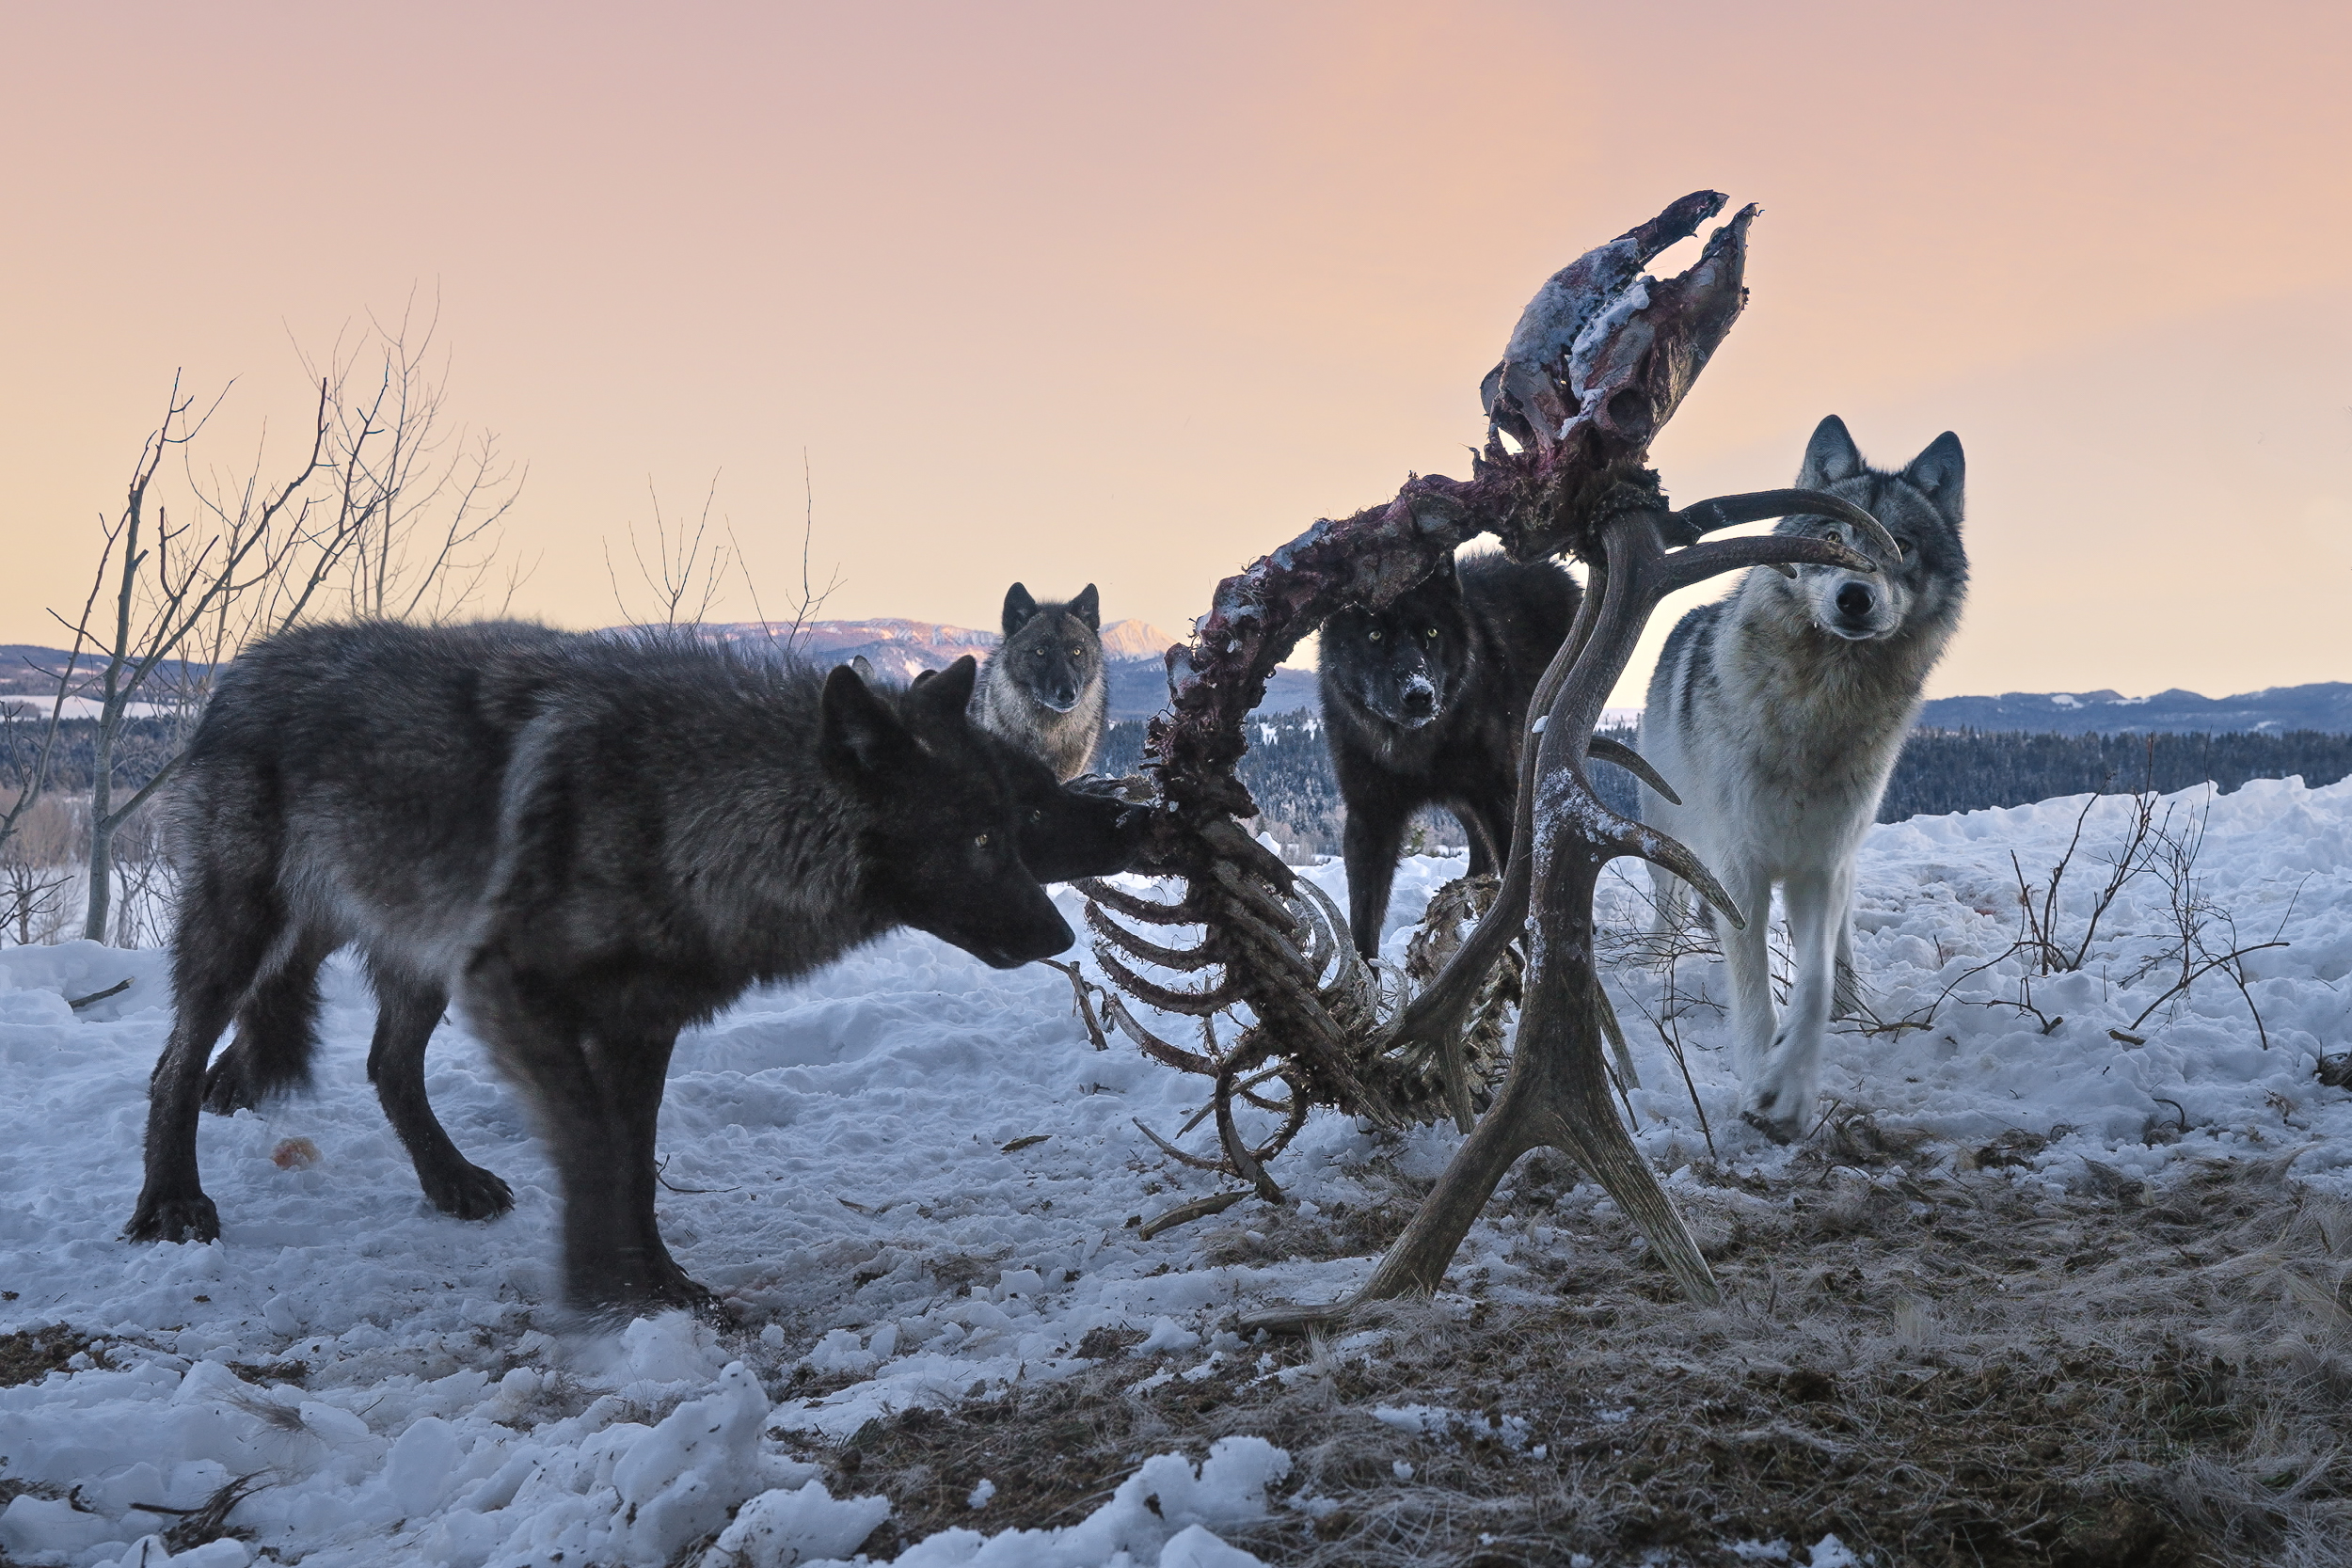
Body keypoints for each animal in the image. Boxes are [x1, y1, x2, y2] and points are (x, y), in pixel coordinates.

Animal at [126, 622, 1140, 1319]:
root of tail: (244, 665)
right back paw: (171, 1201)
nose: (1059, 933)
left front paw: (660, 1283)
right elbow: (594, 1153)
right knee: (175, 1063)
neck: (693, 813)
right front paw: (608, 1287)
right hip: (244, 931)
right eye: (984, 838)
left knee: (386, 1063)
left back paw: (451, 1182)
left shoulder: (639, 1027)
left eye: (1014, 821)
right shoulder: (522, 997)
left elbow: (636, 1165)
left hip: (422, 954)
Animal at [1319, 551, 1582, 959]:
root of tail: (1555, 569)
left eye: (1431, 633)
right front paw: (1365, 976)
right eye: (1375, 635)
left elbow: (1517, 892)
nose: (1419, 695)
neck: (1416, 746)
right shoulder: (1370, 815)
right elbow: (1363, 915)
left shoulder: (1499, 797)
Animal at [1641, 416, 1968, 1142]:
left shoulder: (1820, 863)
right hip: (1667, 839)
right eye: (1830, 540)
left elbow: (1812, 984)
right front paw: (1759, 1073)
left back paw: (1853, 1000)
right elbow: (1753, 985)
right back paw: (1657, 968)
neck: (1820, 710)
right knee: (1666, 911)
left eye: (1902, 545)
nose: (1855, 597)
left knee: (1840, 943)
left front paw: (1789, 1089)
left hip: (1844, 855)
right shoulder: (1740, 867)